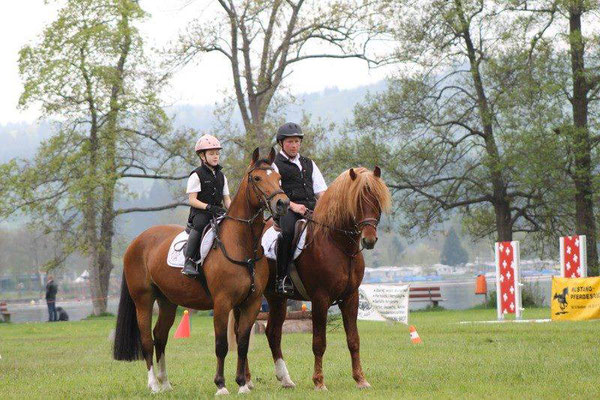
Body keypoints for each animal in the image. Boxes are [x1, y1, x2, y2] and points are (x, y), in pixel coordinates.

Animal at [113, 148, 290, 396]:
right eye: (257, 178)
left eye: (279, 178)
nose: (283, 203)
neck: (241, 244)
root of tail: (136, 242)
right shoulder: (222, 303)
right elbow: (221, 345)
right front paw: (221, 385)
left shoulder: (251, 303)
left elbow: (242, 343)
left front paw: (242, 384)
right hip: (144, 300)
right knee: (147, 339)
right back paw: (154, 385)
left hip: (167, 301)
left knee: (160, 337)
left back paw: (165, 383)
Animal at [250, 166, 394, 390]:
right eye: (358, 200)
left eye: (377, 199)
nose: (369, 240)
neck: (339, 245)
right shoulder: (320, 299)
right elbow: (319, 342)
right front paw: (319, 382)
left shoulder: (350, 298)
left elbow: (353, 340)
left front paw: (360, 379)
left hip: (277, 298)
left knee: (273, 332)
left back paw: (285, 380)